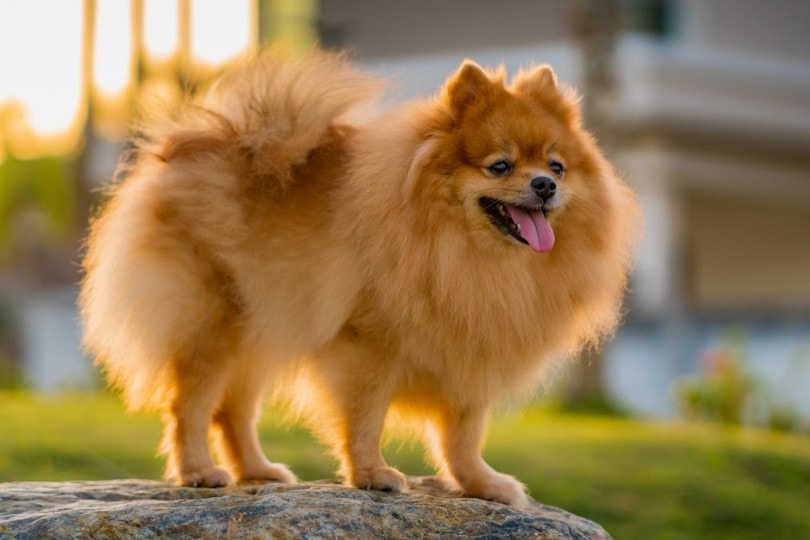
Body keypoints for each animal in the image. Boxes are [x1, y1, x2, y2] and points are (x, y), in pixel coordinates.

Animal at [80, 48, 636, 508]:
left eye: (557, 167)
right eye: (499, 166)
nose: (543, 185)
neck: (471, 258)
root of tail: (206, 140)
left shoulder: (469, 348)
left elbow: (462, 434)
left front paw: (481, 484)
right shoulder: (368, 347)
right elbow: (366, 419)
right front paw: (372, 475)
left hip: (262, 325)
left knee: (232, 410)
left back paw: (257, 471)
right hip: (214, 322)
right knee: (190, 406)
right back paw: (199, 471)